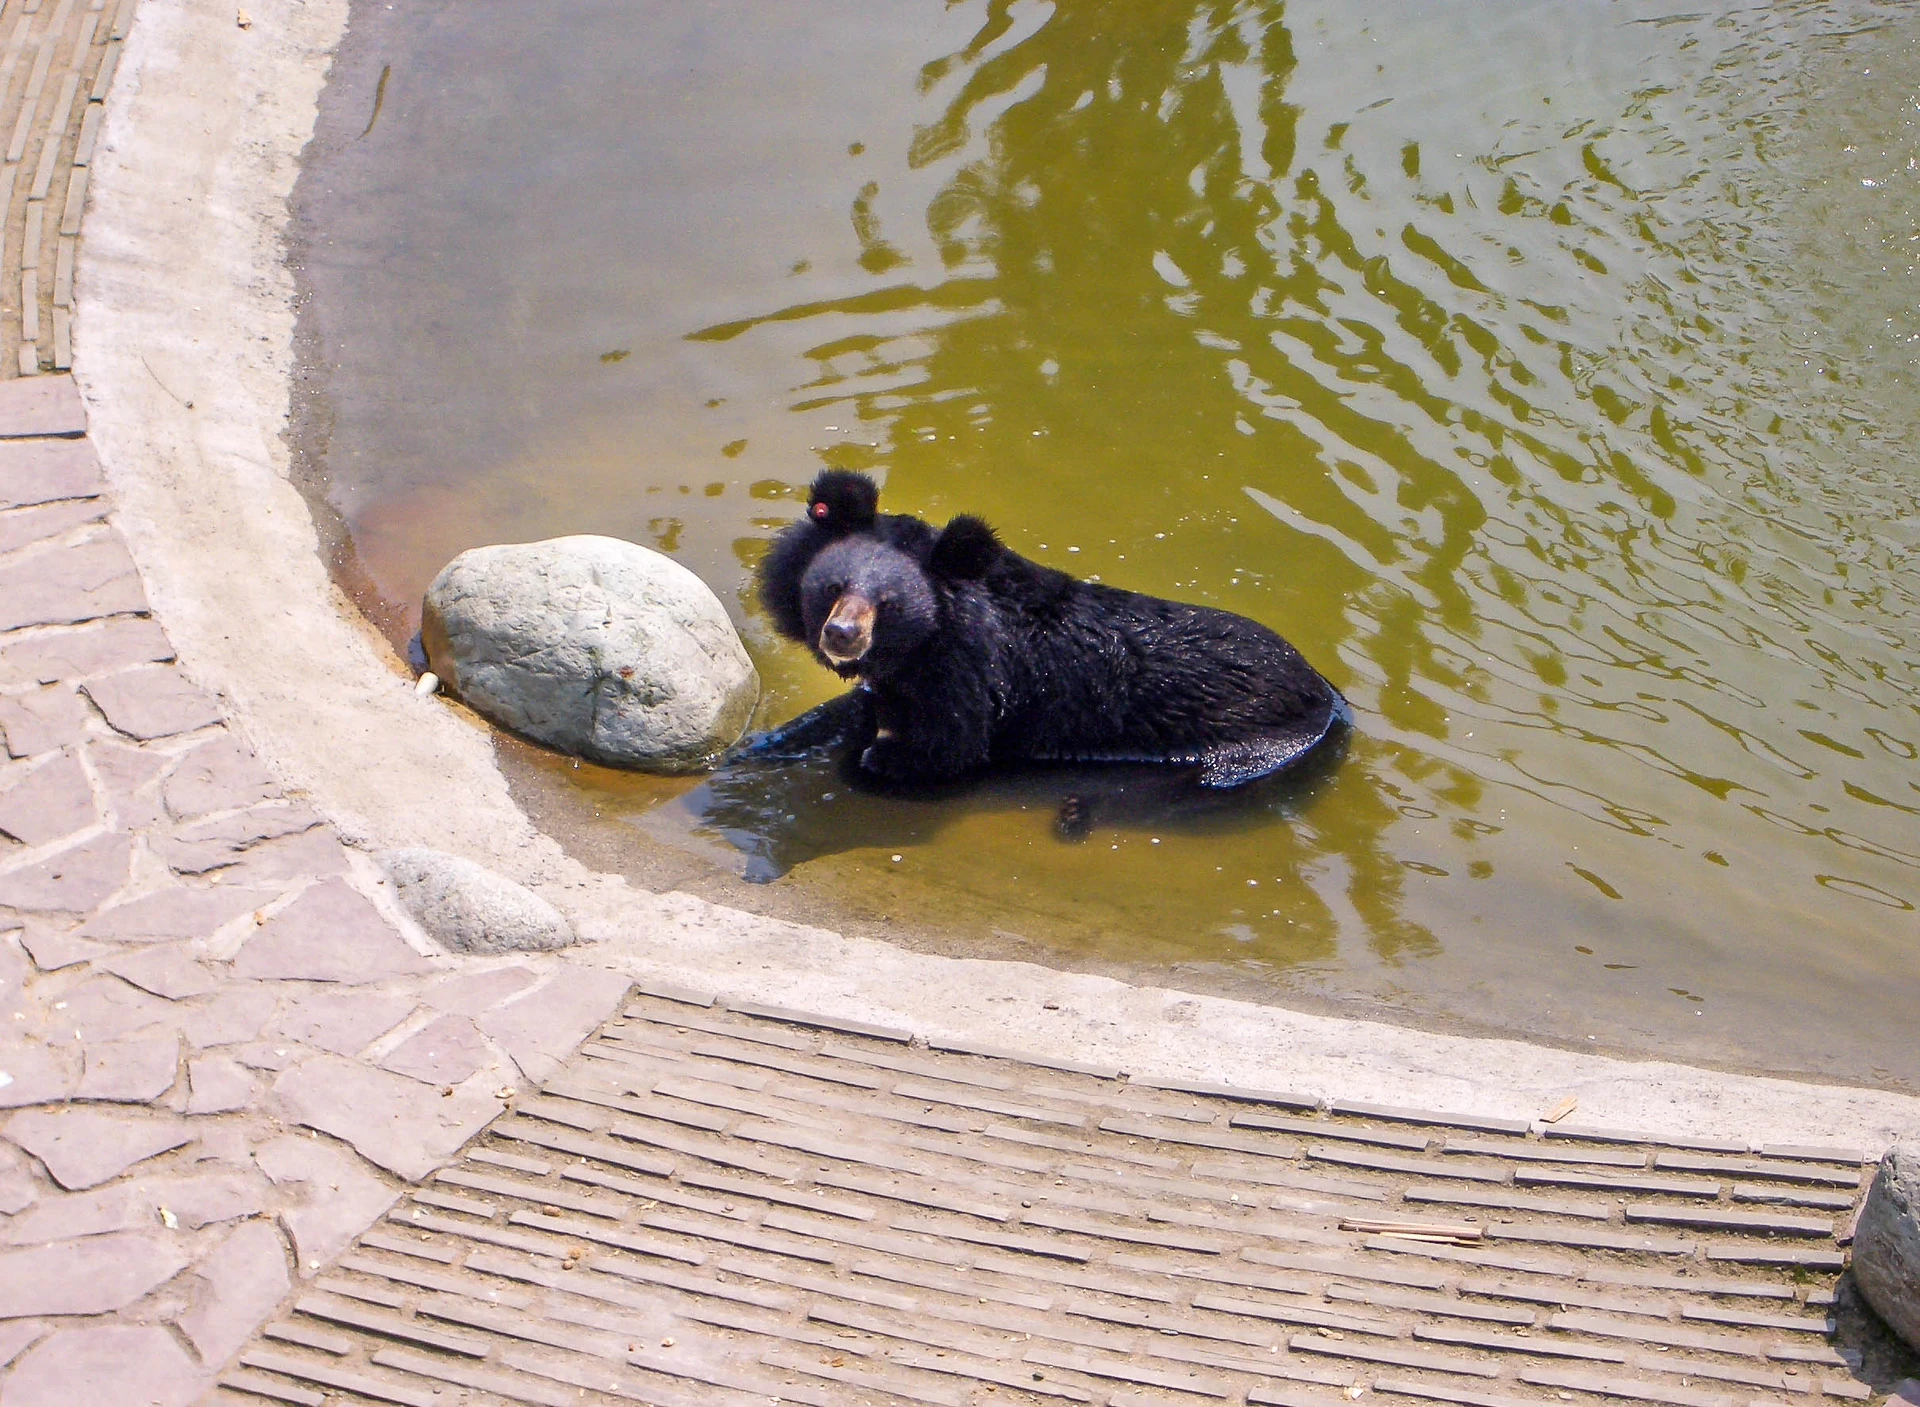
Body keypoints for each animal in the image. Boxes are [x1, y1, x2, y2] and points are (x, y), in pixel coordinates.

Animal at [756, 468, 1349, 789]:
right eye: (832, 589)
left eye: (889, 604)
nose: (841, 635)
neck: (925, 650)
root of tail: (1329, 696)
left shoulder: (970, 687)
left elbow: (947, 748)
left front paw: (879, 755)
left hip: (1251, 748)